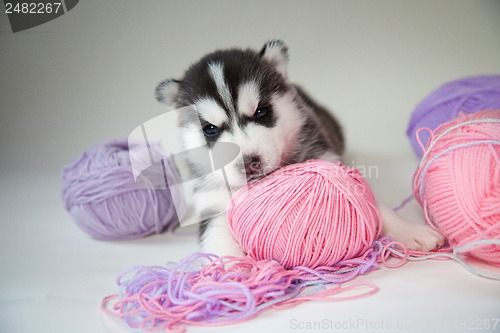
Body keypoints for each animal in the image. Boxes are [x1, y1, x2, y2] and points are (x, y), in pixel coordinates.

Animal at [154, 39, 444, 256]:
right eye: (210, 129)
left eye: (262, 111)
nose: (249, 162)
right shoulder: (211, 201)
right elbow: (218, 238)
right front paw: (230, 279)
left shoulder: (327, 159)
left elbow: (373, 204)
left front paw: (412, 232)